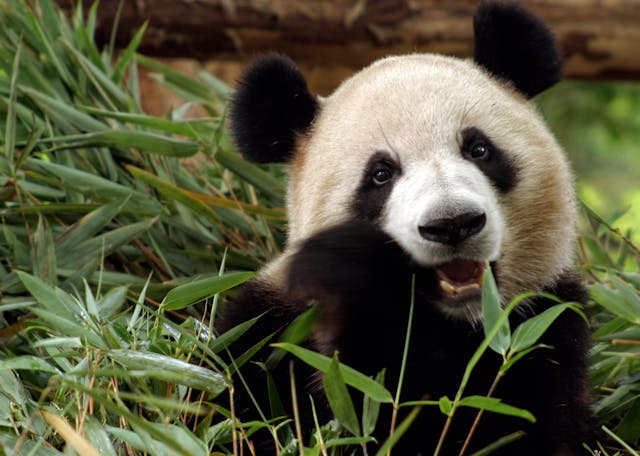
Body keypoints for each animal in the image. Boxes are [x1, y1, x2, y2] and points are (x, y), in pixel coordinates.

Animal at [219, 1, 592, 454]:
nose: (452, 224)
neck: (455, 324)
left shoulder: (544, 327)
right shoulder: (271, 335)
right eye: (381, 174)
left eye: (479, 149)